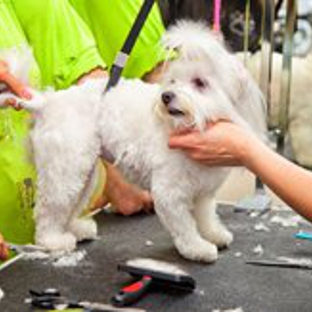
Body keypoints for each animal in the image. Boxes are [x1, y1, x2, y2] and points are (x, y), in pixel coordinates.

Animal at [1, 20, 266, 262]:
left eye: (200, 83)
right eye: (172, 81)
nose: (166, 96)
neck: (182, 127)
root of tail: (47, 103)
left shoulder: (203, 192)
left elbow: (205, 216)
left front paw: (213, 235)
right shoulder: (169, 193)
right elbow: (184, 227)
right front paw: (198, 249)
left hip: (83, 173)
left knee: (71, 204)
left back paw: (76, 229)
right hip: (65, 168)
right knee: (48, 209)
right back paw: (53, 240)